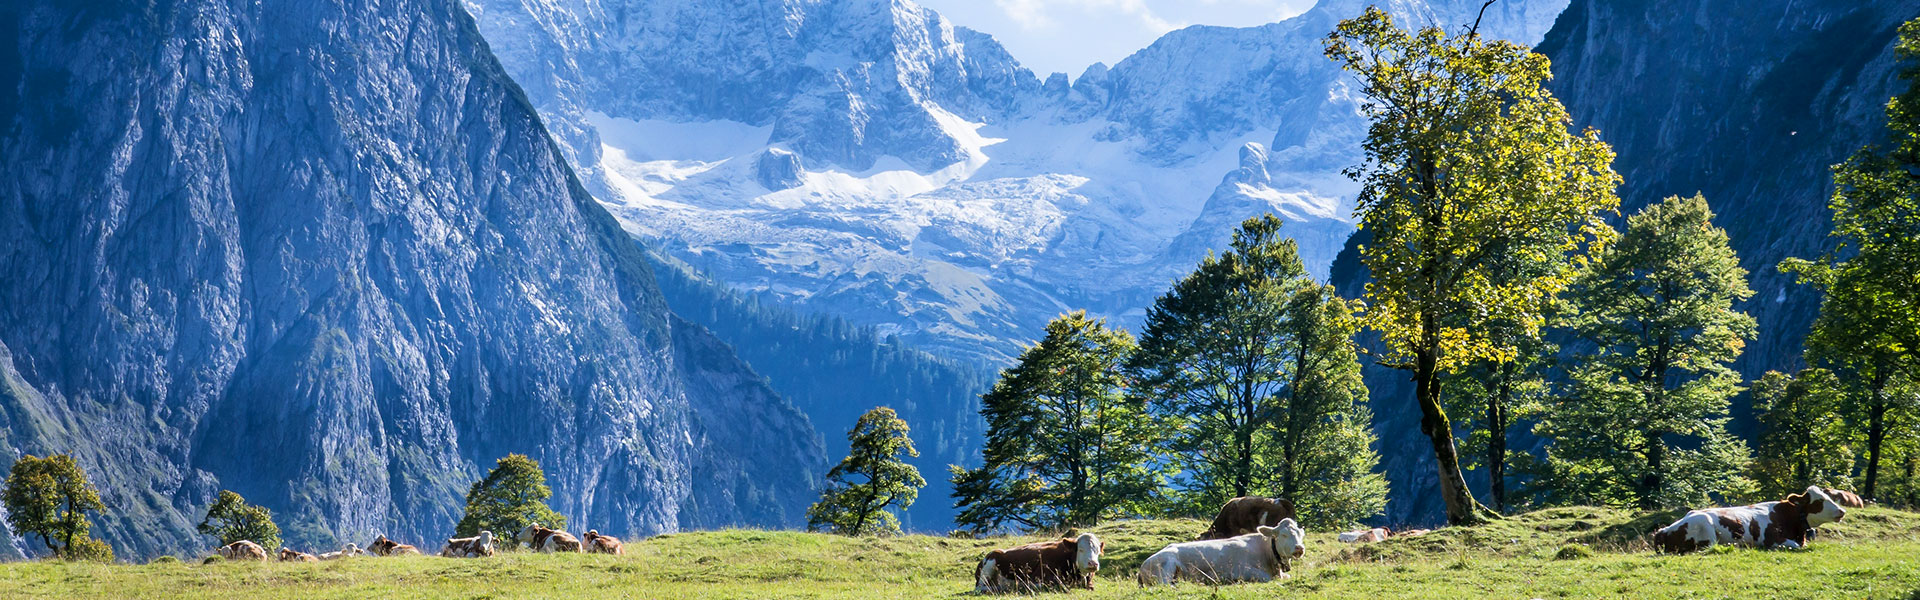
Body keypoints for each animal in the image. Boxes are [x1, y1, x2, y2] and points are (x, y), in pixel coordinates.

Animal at [975, 530, 1113, 592]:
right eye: (1081, 550)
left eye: (1097, 550)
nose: (1093, 564)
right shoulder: (1041, 576)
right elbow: (1049, 584)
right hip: (989, 566)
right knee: (981, 587)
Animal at [1128, 519, 1313, 588]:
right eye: (1284, 534)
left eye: (1301, 534)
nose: (1299, 548)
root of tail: (1142, 567)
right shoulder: (1242, 570)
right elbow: (1266, 578)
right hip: (1166, 567)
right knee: (1165, 585)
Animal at [1651, 482, 1843, 553]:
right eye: (1820, 500)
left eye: (1828, 496)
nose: (1842, 511)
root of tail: (1663, 531)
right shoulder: (1772, 540)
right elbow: (1794, 546)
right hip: (1706, 526)